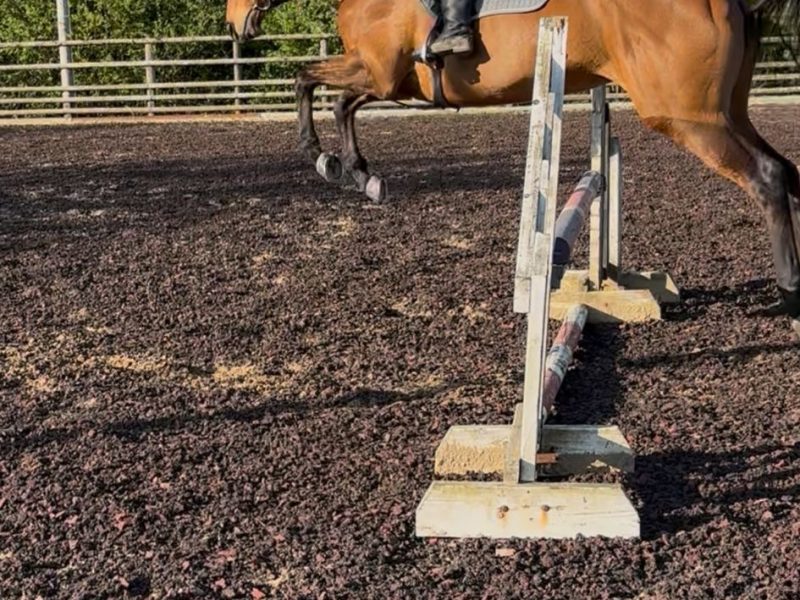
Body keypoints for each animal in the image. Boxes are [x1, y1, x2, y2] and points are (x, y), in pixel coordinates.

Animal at [225, 0, 800, 335]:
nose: (234, 24)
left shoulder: (380, 73)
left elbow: (307, 81)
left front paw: (326, 159)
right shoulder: (391, 80)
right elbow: (337, 101)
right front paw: (357, 172)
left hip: (686, 115)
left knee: (767, 178)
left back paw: (789, 296)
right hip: (728, 112)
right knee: (786, 171)